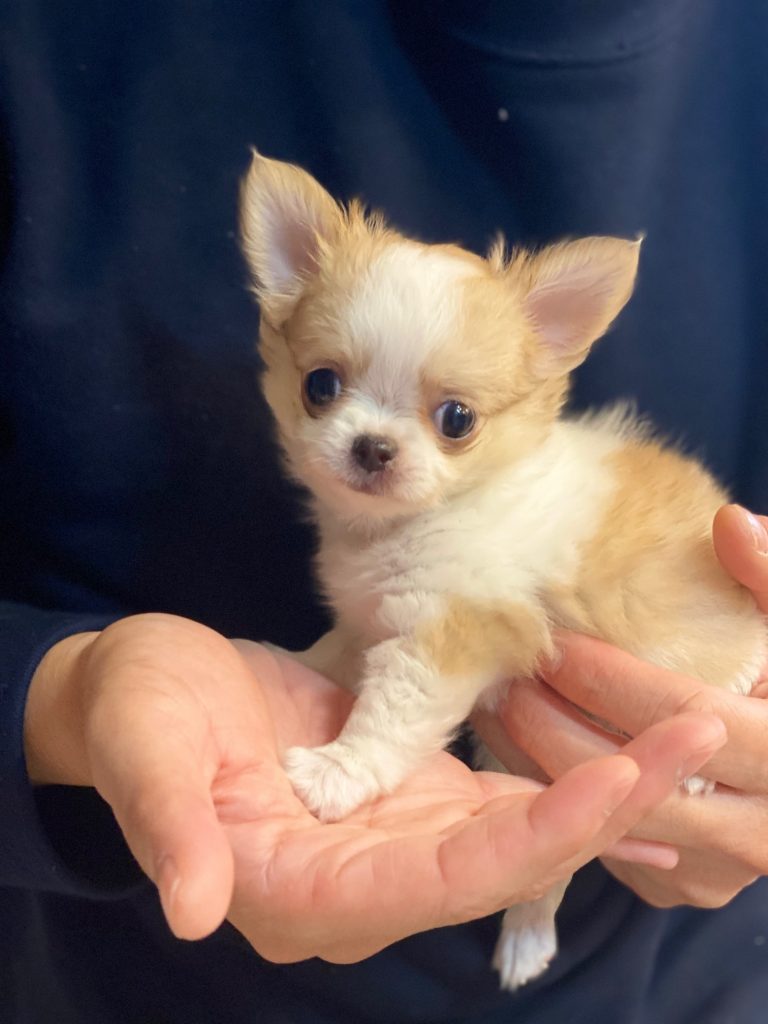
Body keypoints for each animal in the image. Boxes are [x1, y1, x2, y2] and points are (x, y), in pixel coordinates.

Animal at [237, 153, 765, 991]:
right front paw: (286, 661)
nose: (372, 448)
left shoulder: (450, 633)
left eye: (457, 420)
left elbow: (389, 716)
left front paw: (336, 773)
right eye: (320, 385)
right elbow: (336, 651)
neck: (407, 526)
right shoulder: (375, 615)